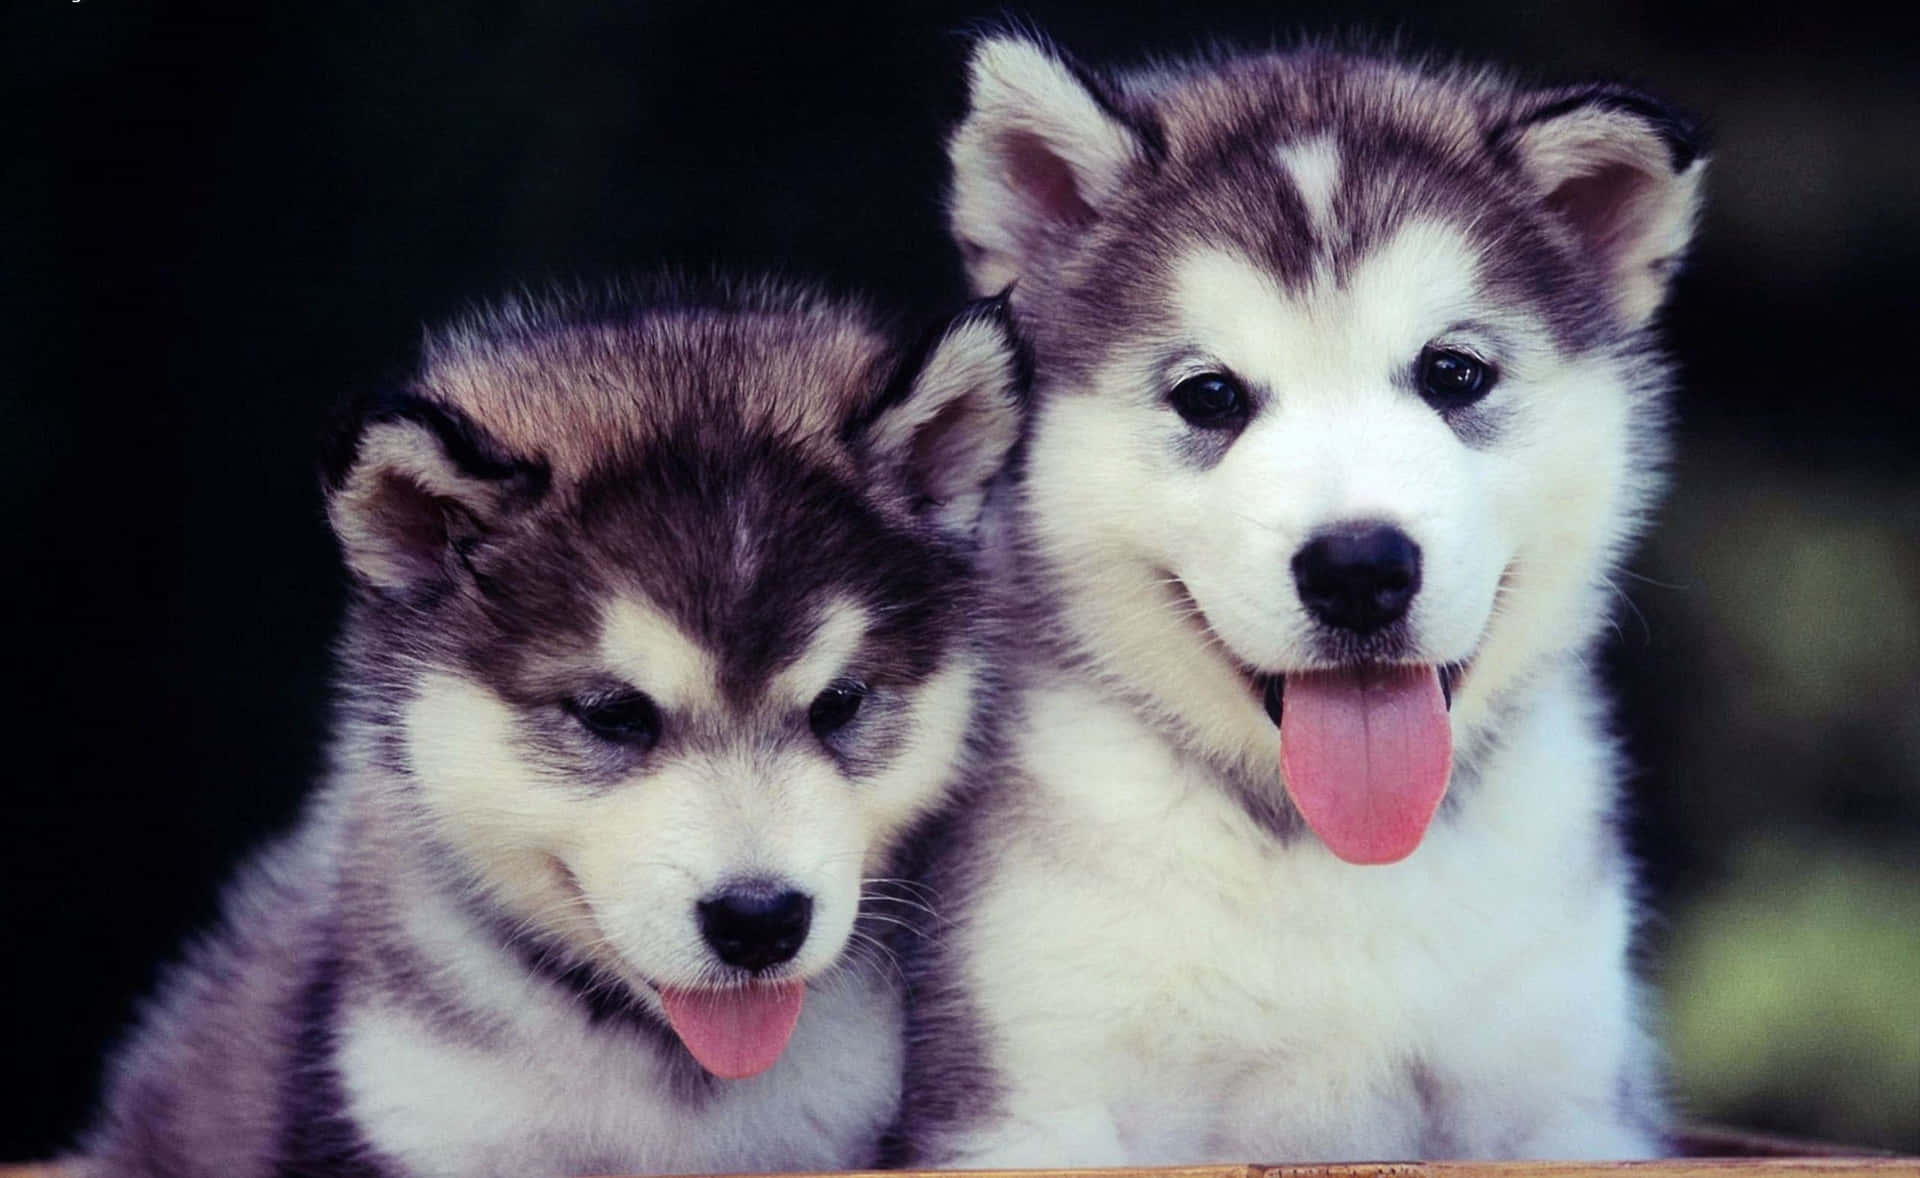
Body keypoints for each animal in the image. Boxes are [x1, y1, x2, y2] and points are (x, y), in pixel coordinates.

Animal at [894, 29, 1712, 1174]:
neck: (1333, 856)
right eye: (1208, 394)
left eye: (1454, 372)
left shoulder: (1565, 1098)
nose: (1359, 568)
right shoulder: (1027, 1098)